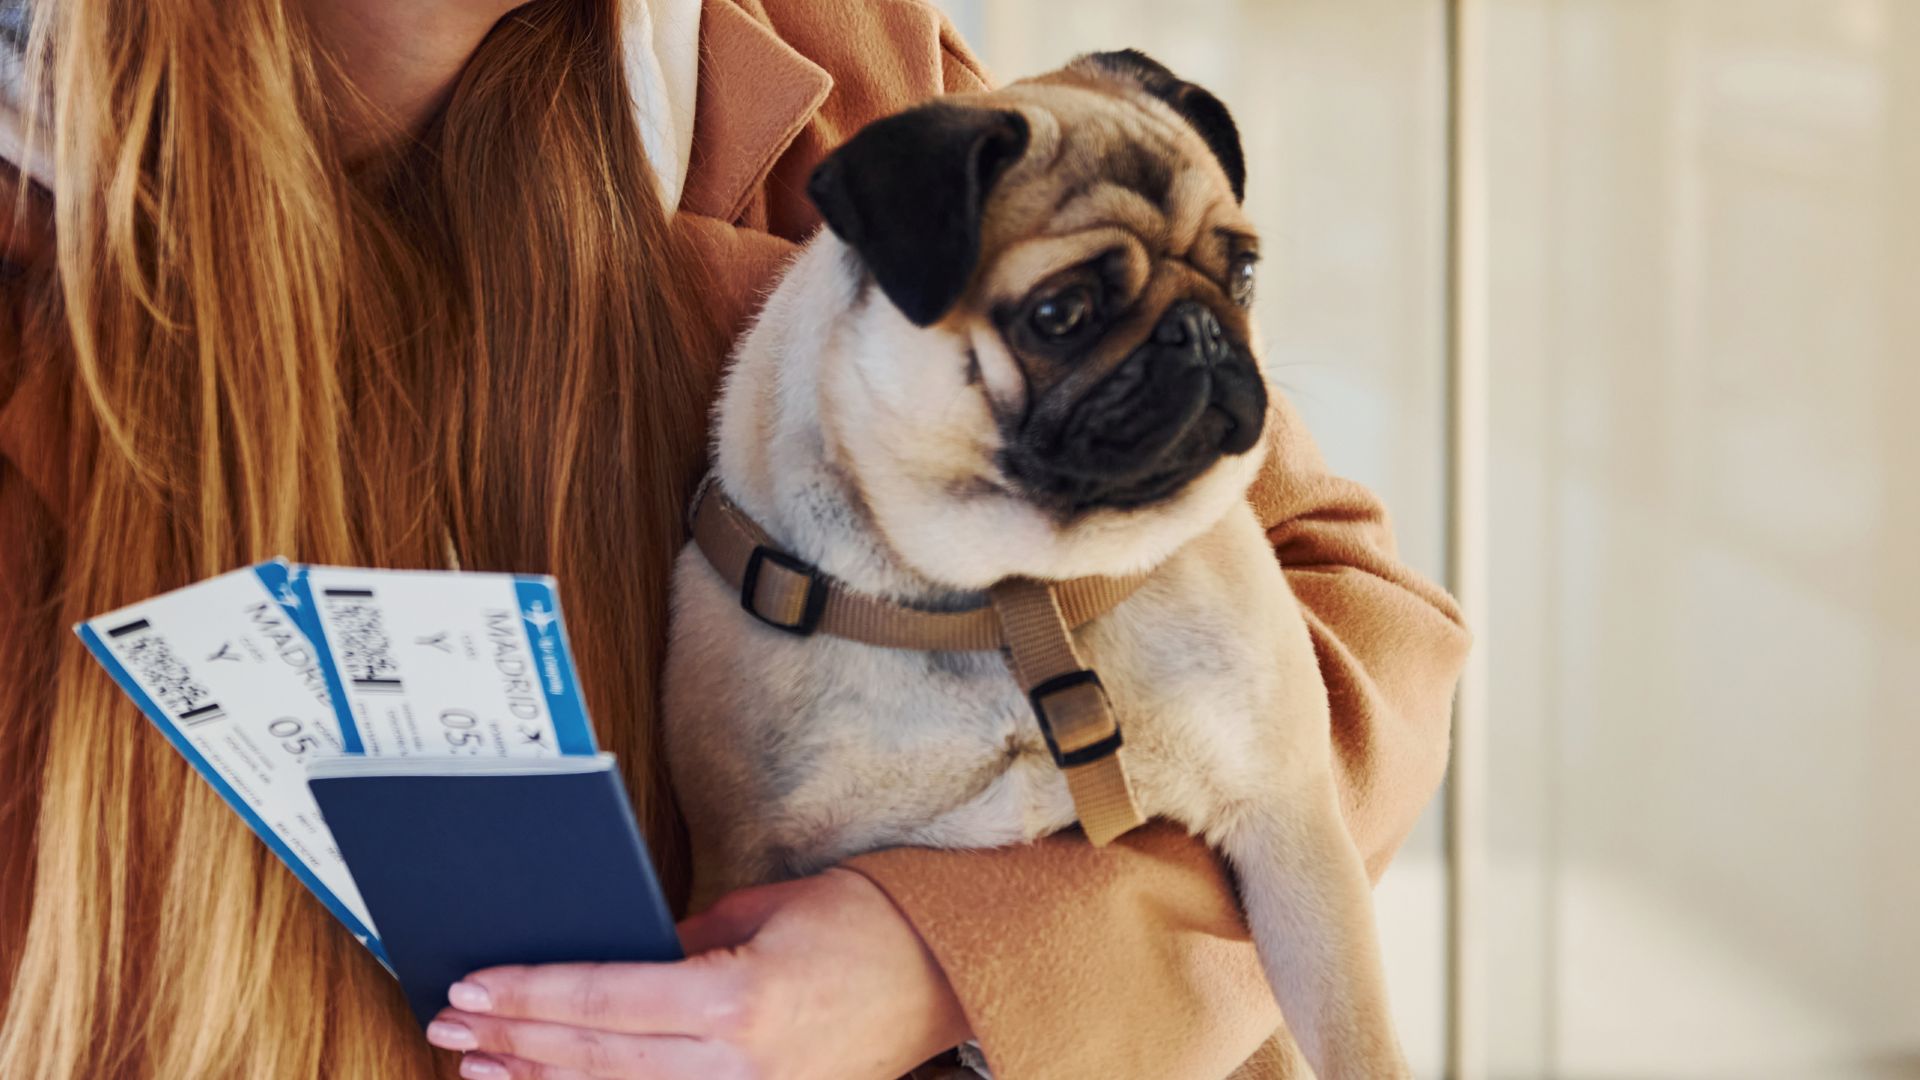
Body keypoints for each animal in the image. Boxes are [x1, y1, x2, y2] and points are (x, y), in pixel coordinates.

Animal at [668, 50, 1420, 1076]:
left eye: (1243, 272)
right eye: (1060, 314)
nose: (1198, 330)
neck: (1013, 596)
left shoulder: (1292, 825)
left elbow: (1355, 1038)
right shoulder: (739, 860)